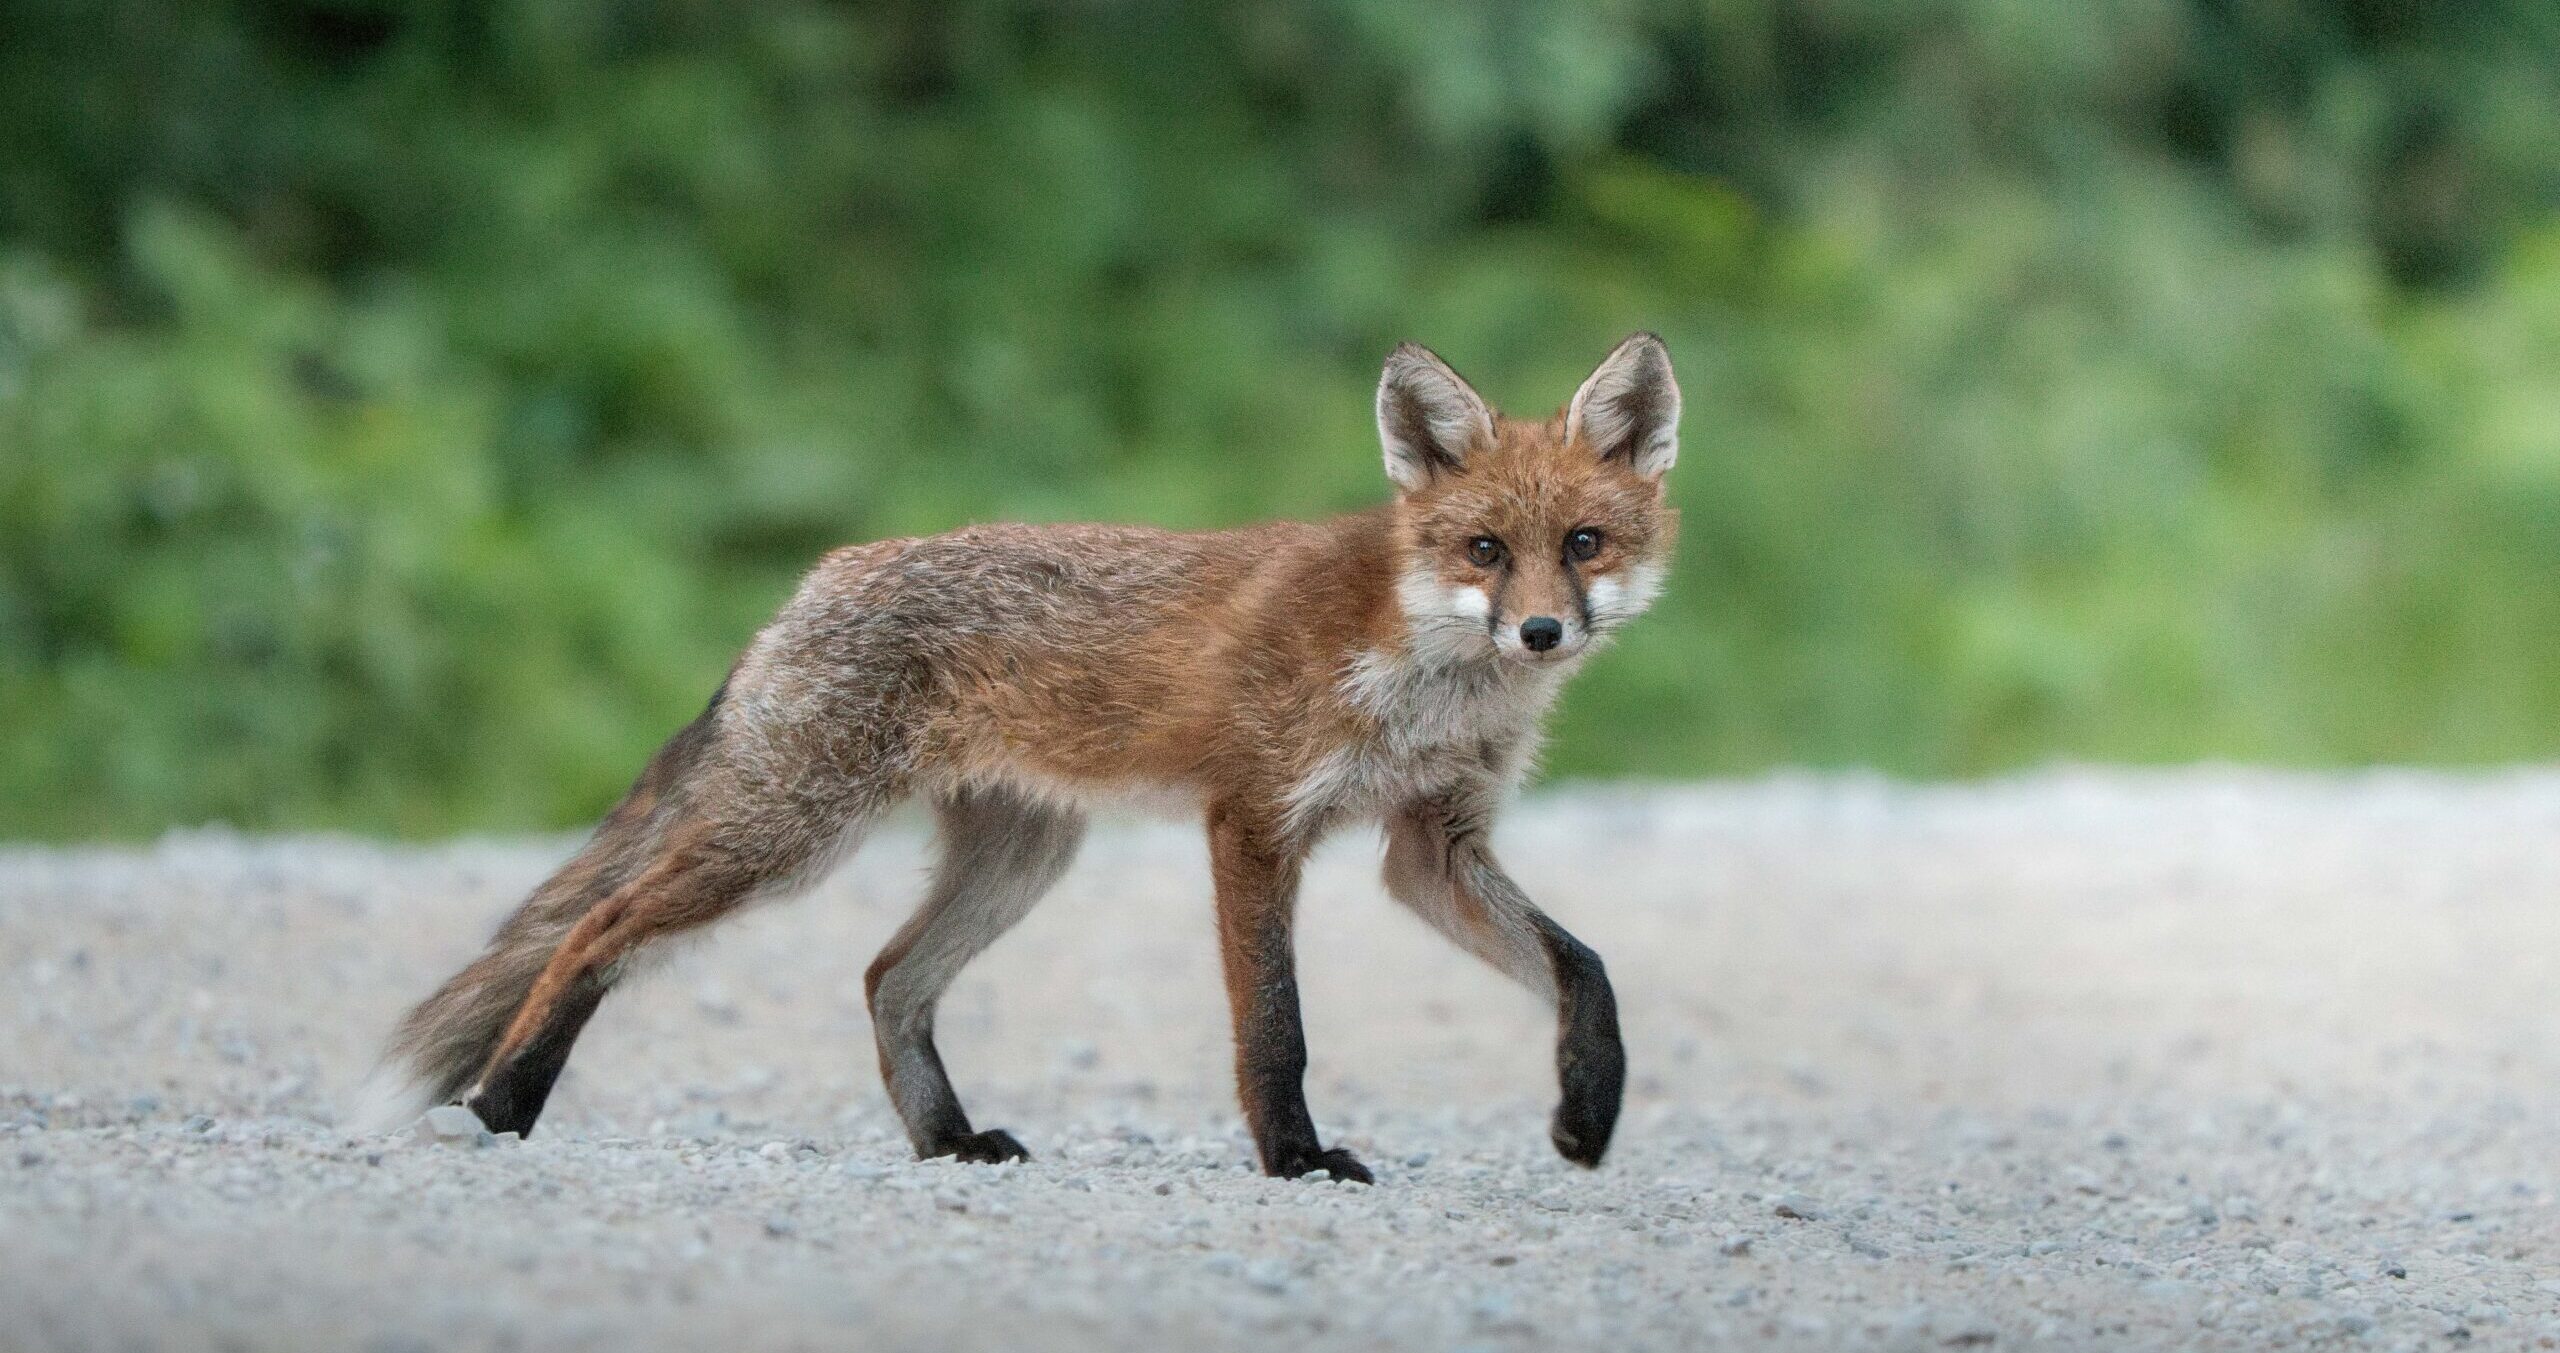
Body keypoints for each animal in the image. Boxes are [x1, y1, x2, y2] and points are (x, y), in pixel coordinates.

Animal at [353, 333, 1681, 1183]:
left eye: (1582, 543)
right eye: (1482, 549)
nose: (1543, 631)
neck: (1421, 680)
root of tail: (806, 585)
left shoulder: (1430, 844)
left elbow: (1586, 969)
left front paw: (1588, 1109)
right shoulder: (1254, 822)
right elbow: (1275, 1029)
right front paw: (1296, 1160)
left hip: (1019, 856)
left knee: (887, 979)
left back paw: (947, 1143)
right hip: (789, 833)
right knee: (596, 928)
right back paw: (504, 1103)